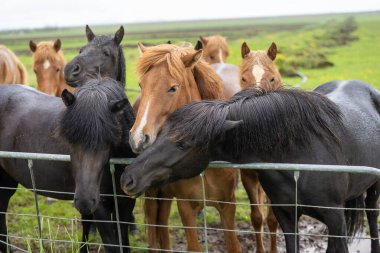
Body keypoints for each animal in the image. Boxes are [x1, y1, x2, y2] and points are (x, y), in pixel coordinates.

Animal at [0, 78, 137, 252]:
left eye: (108, 140)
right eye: (69, 139)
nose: (85, 201)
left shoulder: (126, 203)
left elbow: (123, 243)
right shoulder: (101, 208)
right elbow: (112, 245)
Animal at [121, 80, 380, 253]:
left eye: (184, 144)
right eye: (162, 132)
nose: (128, 177)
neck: (300, 154)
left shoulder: (335, 216)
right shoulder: (286, 215)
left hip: (372, 191)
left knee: (372, 216)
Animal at [129, 42, 239, 252]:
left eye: (173, 88)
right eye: (141, 85)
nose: (138, 138)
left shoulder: (228, 205)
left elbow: (233, 246)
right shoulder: (186, 206)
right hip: (154, 193)